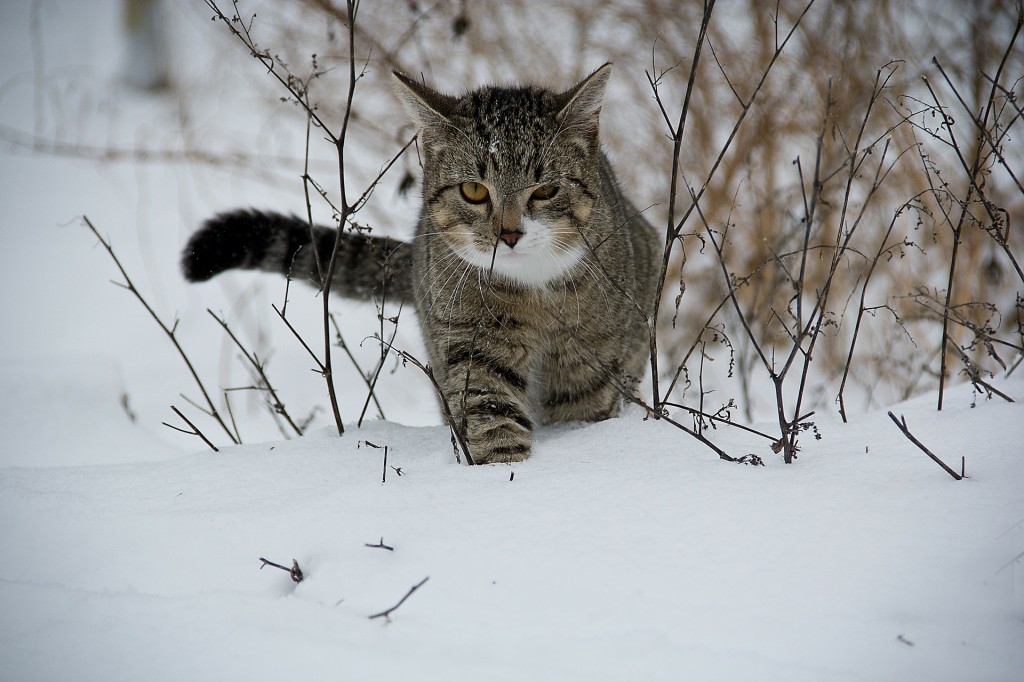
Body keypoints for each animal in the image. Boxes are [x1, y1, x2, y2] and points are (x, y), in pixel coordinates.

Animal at [182, 63, 663, 462]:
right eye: (473, 190)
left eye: (545, 190)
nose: (508, 234)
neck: (533, 291)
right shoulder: (470, 342)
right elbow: (491, 414)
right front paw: (504, 473)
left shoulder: (591, 356)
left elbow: (582, 409)